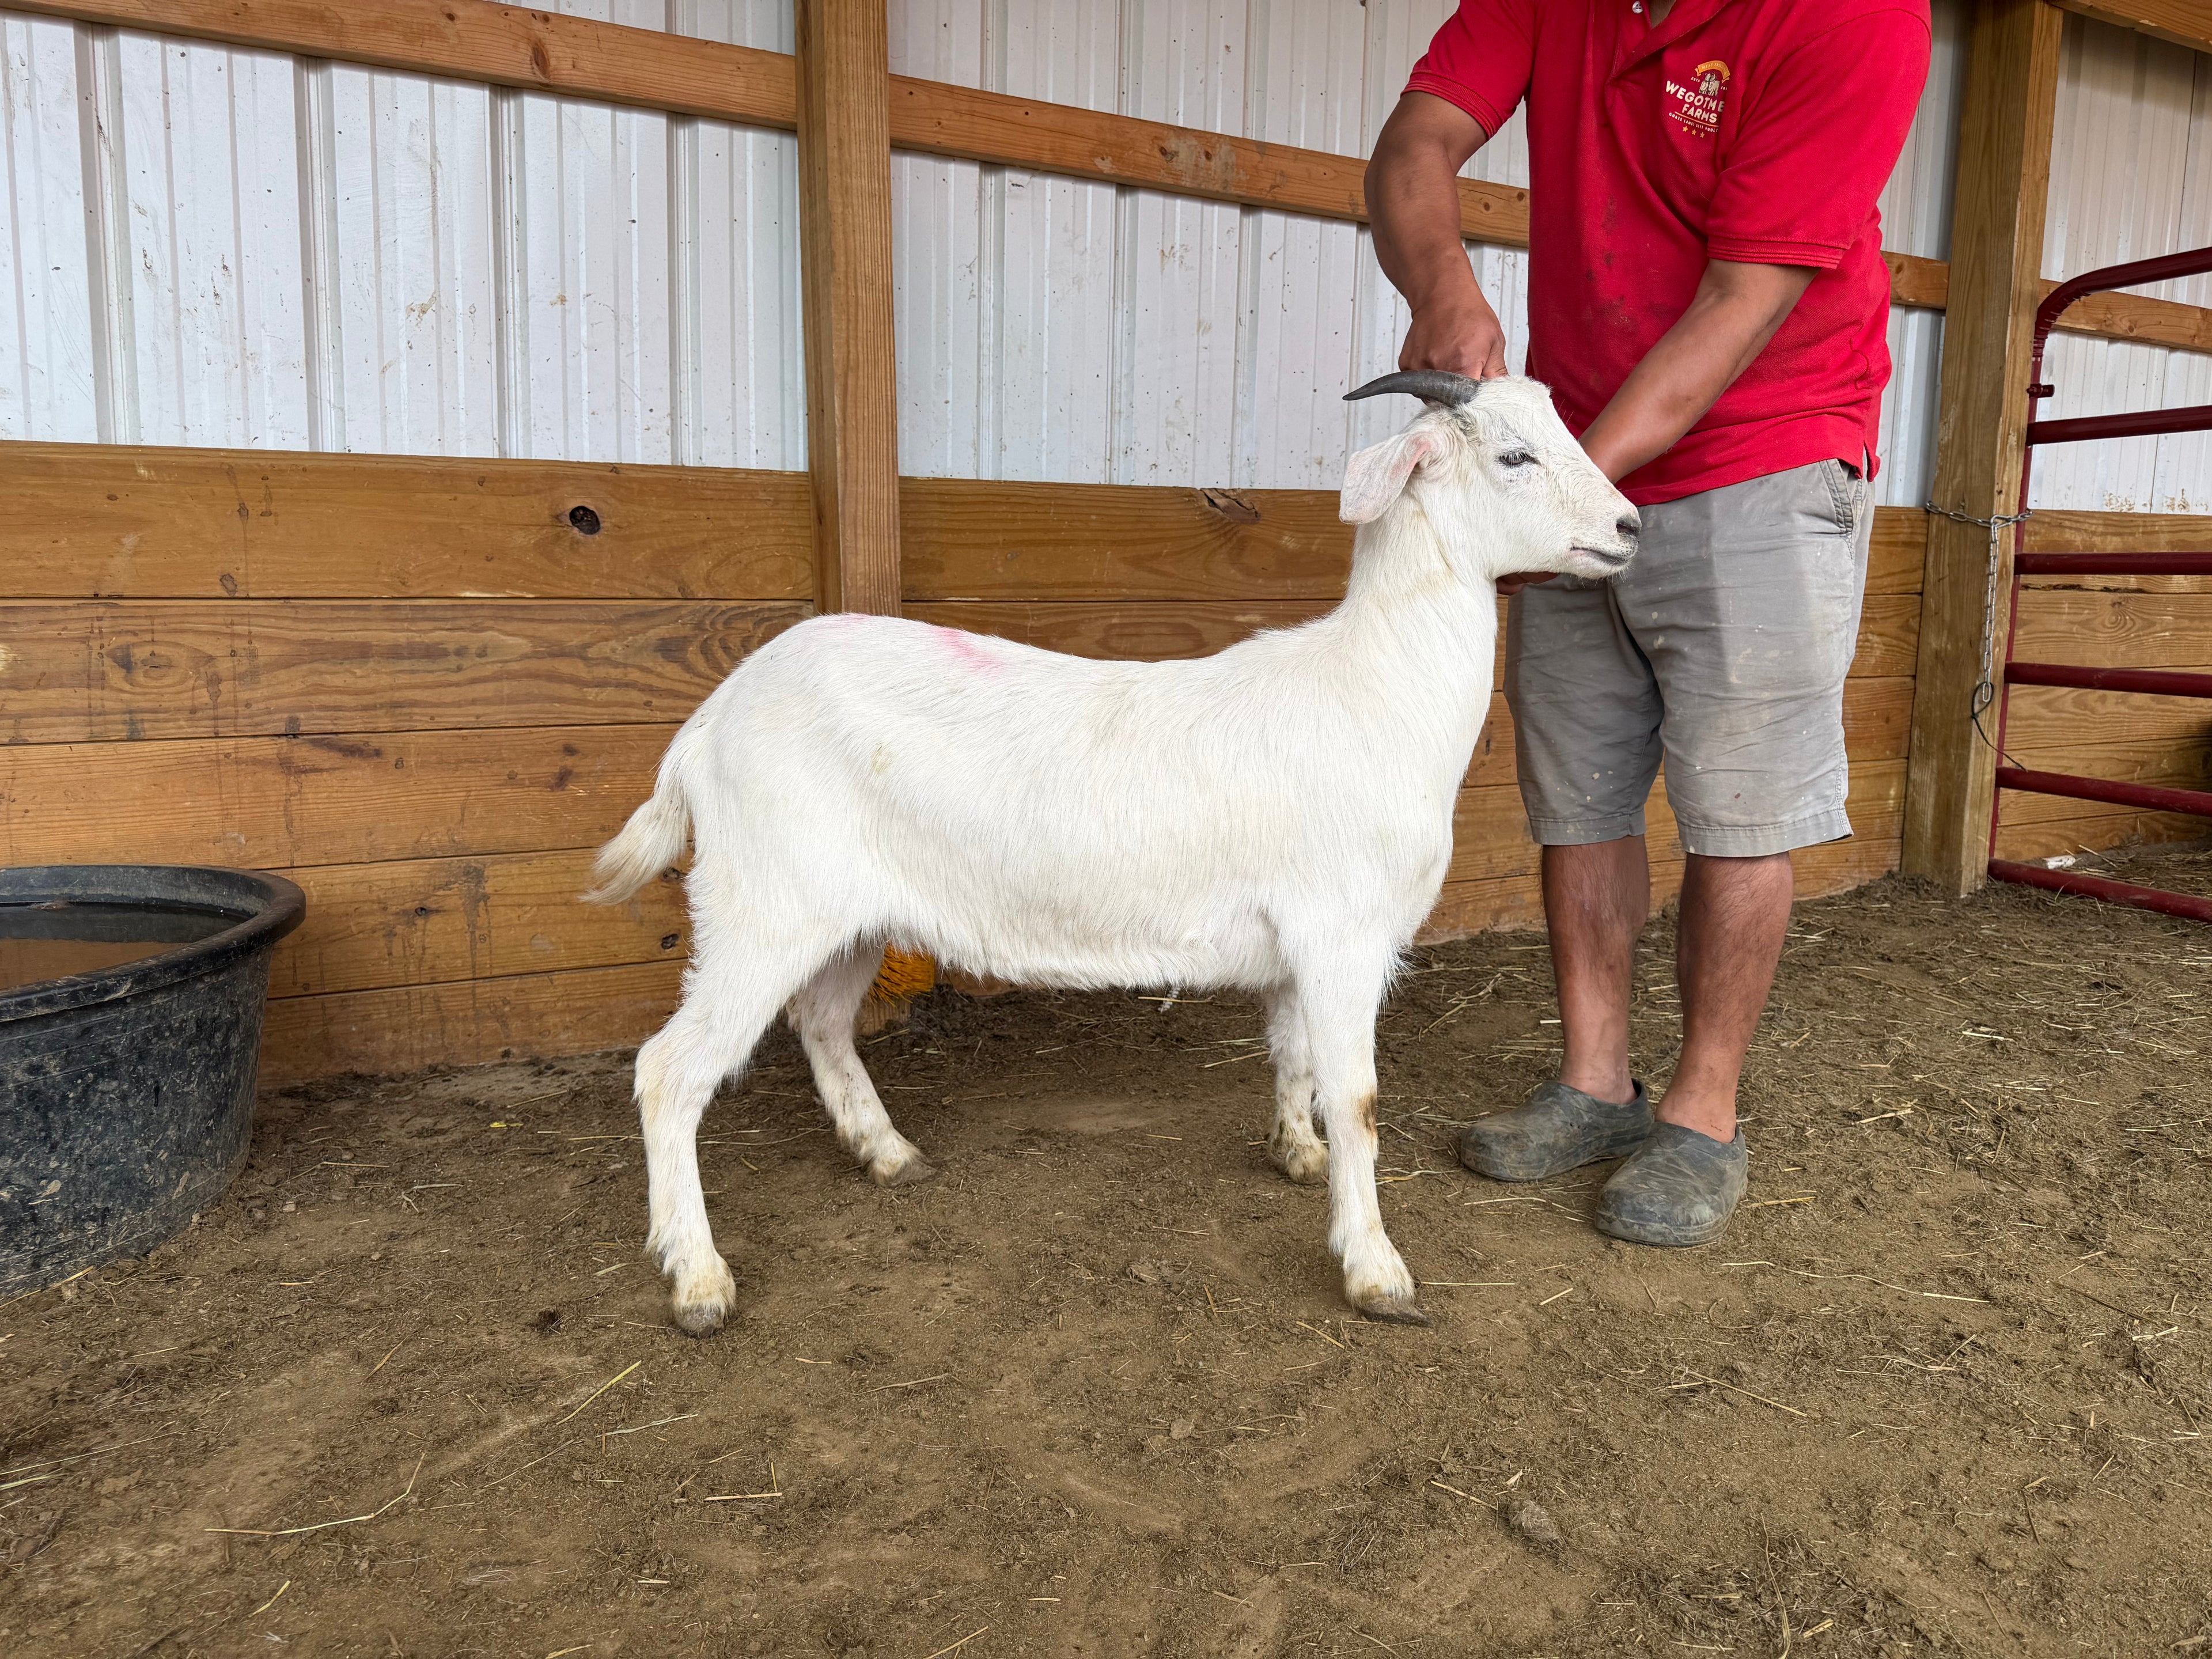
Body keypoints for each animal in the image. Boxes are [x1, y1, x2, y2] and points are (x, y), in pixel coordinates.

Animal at [585, 372, 1639, 1334]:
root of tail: (710, 720)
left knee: (822, 1023)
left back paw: (887, 1153)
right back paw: (697, 1280)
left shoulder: (1297, 946)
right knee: (669, 1071)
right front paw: (1376, 1269)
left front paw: (1295, 1152)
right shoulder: (1343, 934)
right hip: (765, 905)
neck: (1374, 687)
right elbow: (1362, 1101)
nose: (1631, 528)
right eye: (1514, 456)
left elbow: (1294, 1055)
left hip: (849, 913)